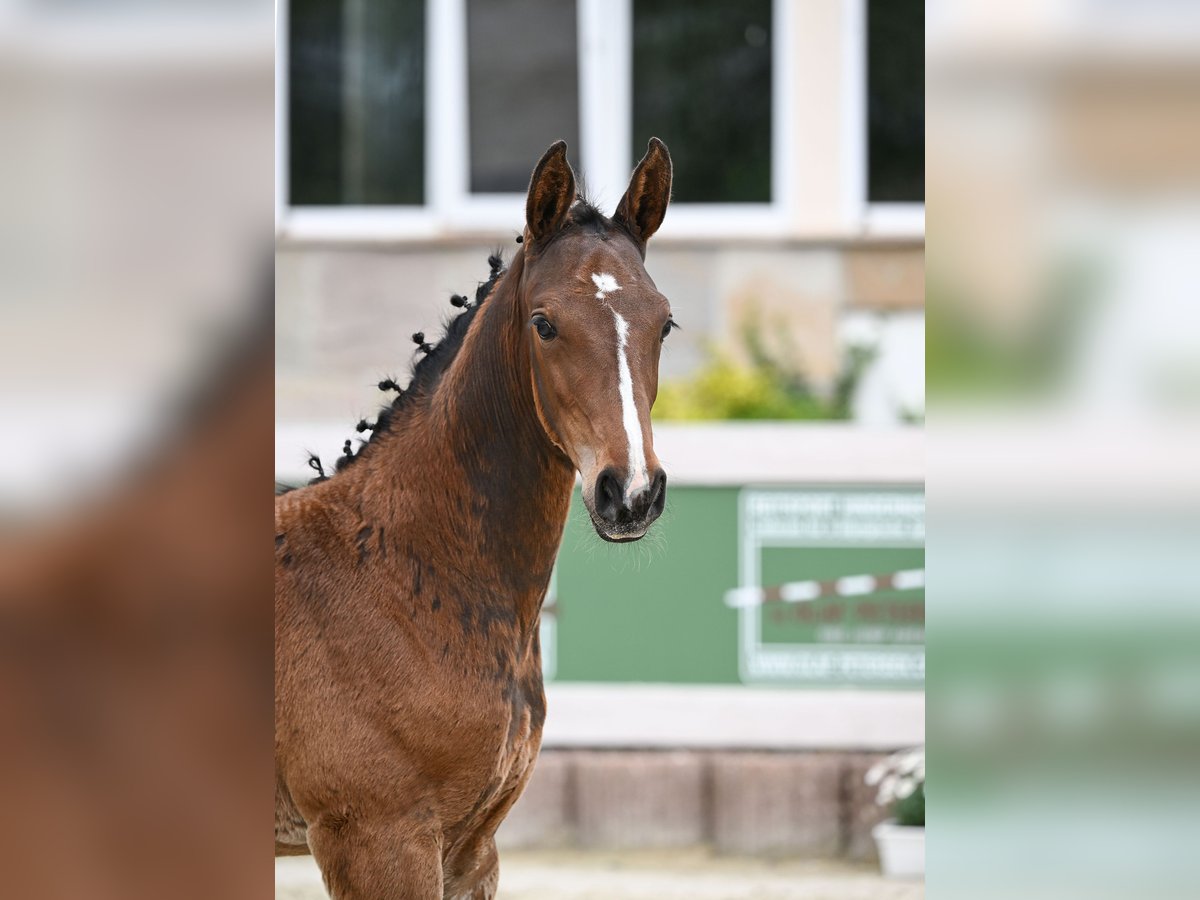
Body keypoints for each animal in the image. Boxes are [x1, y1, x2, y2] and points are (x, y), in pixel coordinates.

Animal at [276, 137, 681, 897]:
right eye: (544, 323)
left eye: (664, 322)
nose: (632, 492)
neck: (406, 572)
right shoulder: (378, 841)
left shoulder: (471, 851)